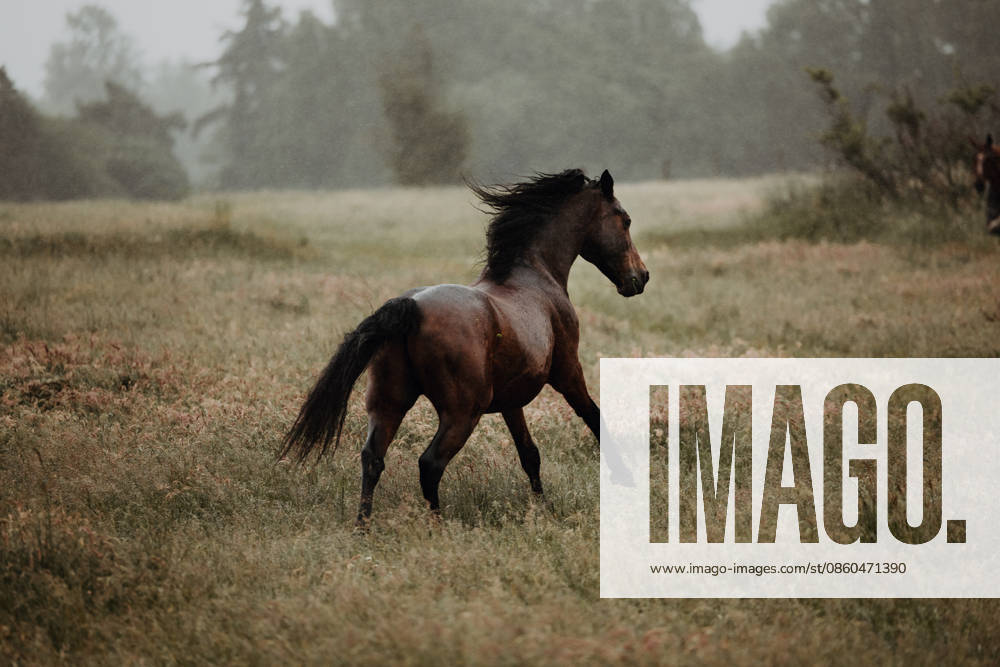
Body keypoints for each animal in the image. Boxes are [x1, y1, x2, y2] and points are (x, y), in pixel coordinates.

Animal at [279, 168, 649, 525]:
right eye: (626, 219)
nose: (641, 277)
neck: (536, 277)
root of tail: (411, 308)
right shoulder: (568, 372)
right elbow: (594, 418)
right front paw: (625, 480)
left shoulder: (511, 400)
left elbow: (530, 453)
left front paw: (543, 509)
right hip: (462, 412)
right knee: (429, 463)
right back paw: (439, 528)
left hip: (388, 403)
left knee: (373, 458)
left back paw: (363, 528)